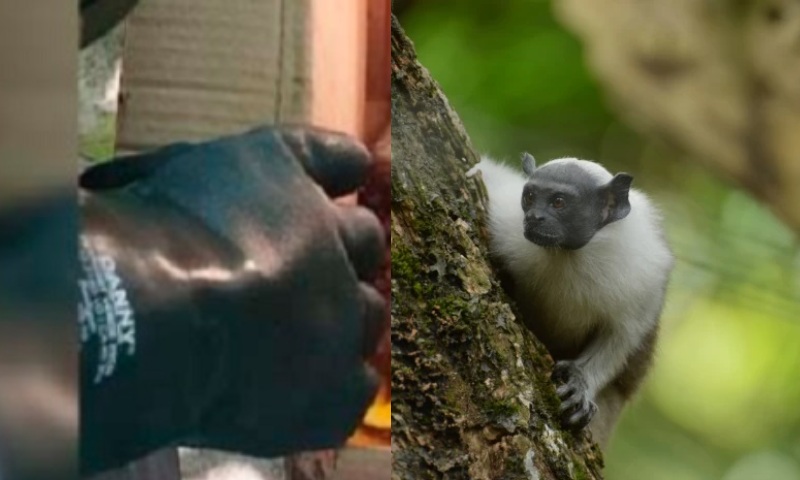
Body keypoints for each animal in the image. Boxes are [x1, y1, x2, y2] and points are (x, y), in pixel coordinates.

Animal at [467, 153, 674, 447]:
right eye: (529, 196)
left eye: (559, 202)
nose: (534, 217)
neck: (568, 255)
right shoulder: (507, 221)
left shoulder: (646, 275)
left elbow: (621, 337)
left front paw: (580, 382)